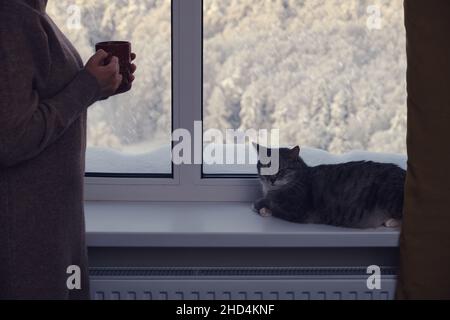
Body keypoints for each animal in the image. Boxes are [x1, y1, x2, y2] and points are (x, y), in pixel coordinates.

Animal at [255, 144, 406, 229]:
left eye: (282, 169)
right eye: (266, 167)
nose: (272, 179)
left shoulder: (297, 210)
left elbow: (270, 204)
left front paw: (261, 206)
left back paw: (391, 222)